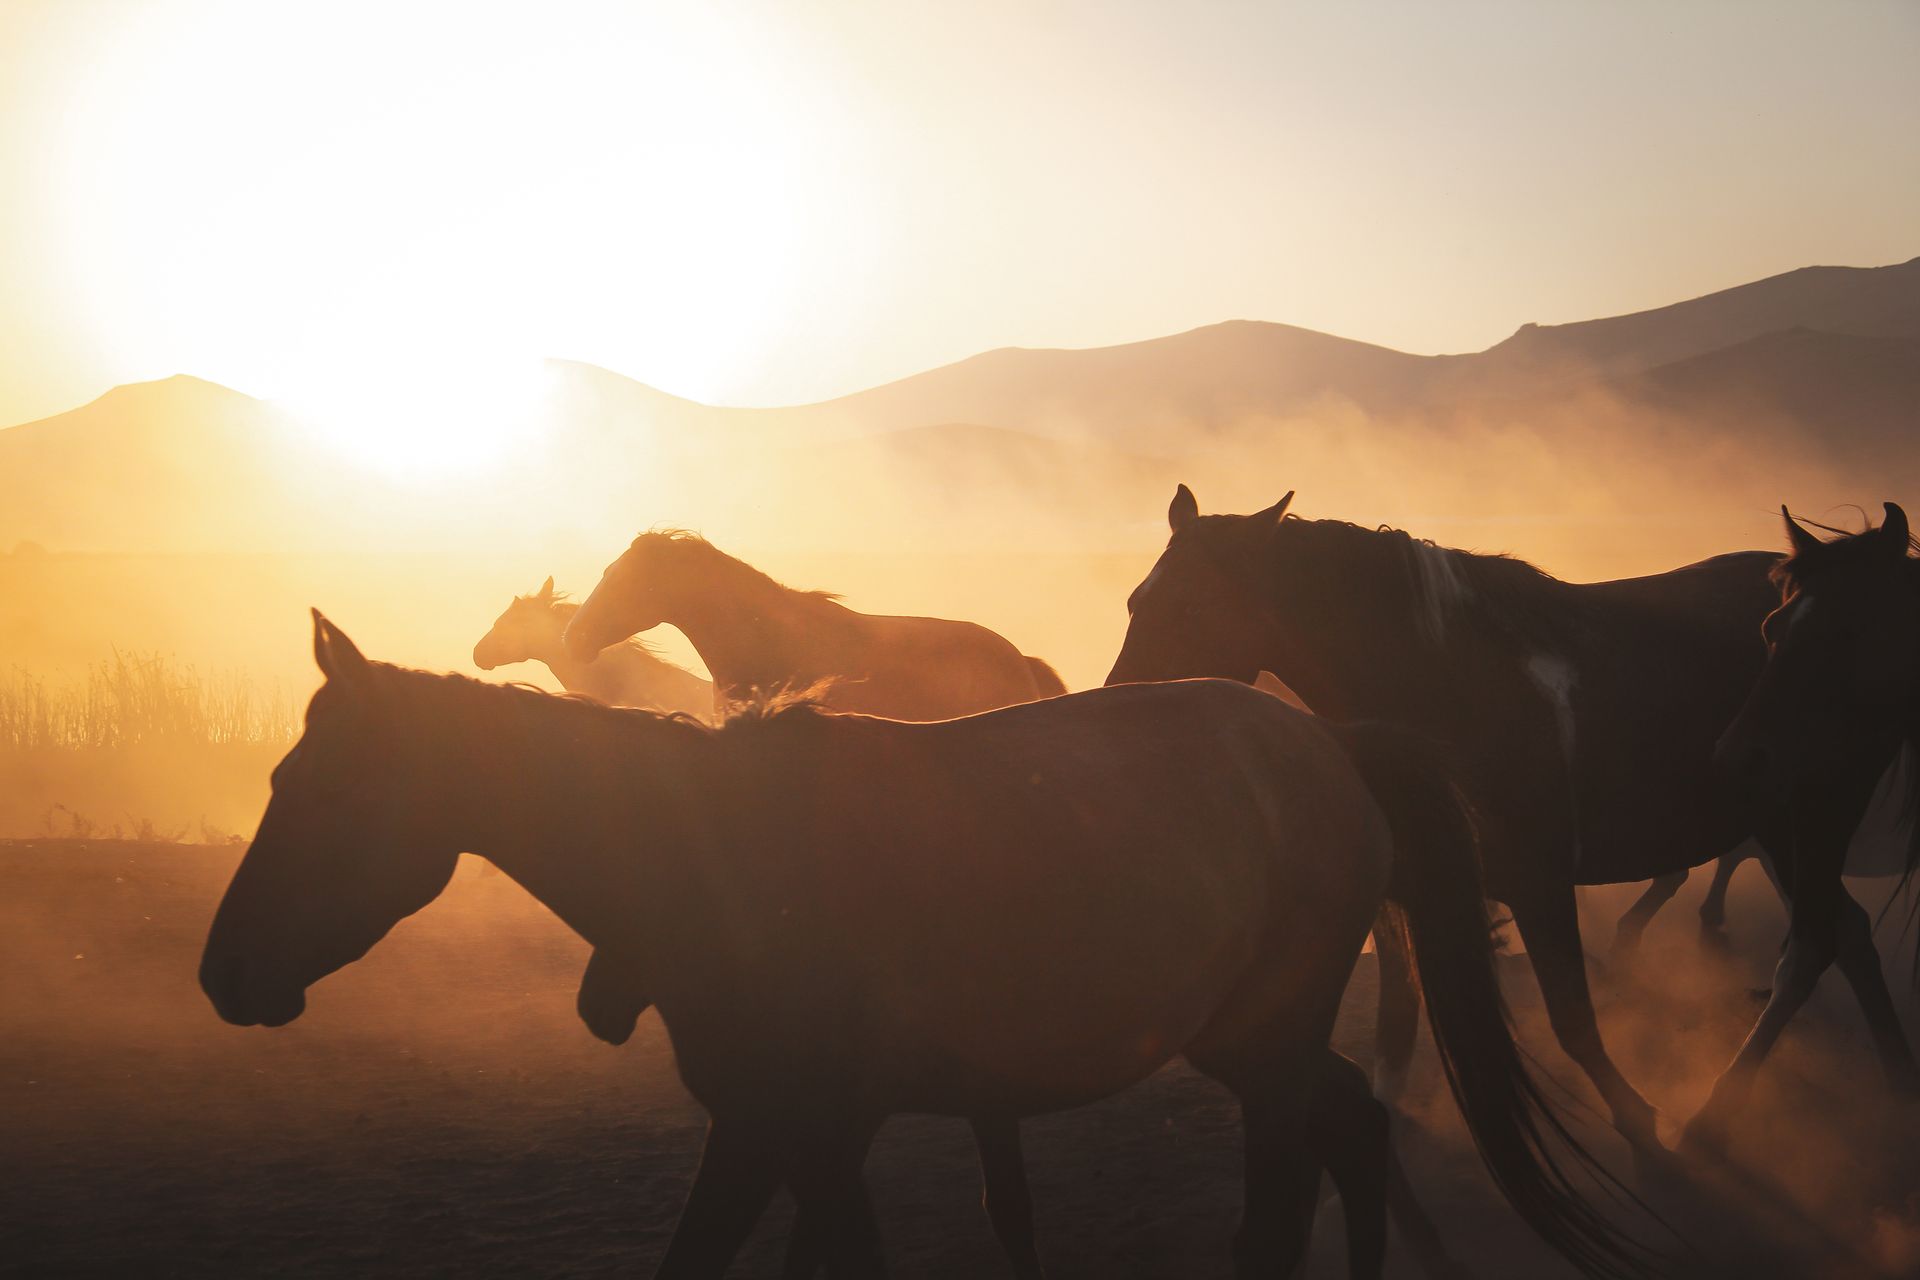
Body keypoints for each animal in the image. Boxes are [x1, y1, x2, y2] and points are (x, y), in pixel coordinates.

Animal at [201, 613, 1654, 1280]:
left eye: (320, 790)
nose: (223, 974)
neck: (713, 855)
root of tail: (1326, 745)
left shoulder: (804, 1131)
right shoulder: (785, 1134)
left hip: (1269, 1040)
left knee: (1289, 1181)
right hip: (1250, 1039)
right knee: (1353, 1123)